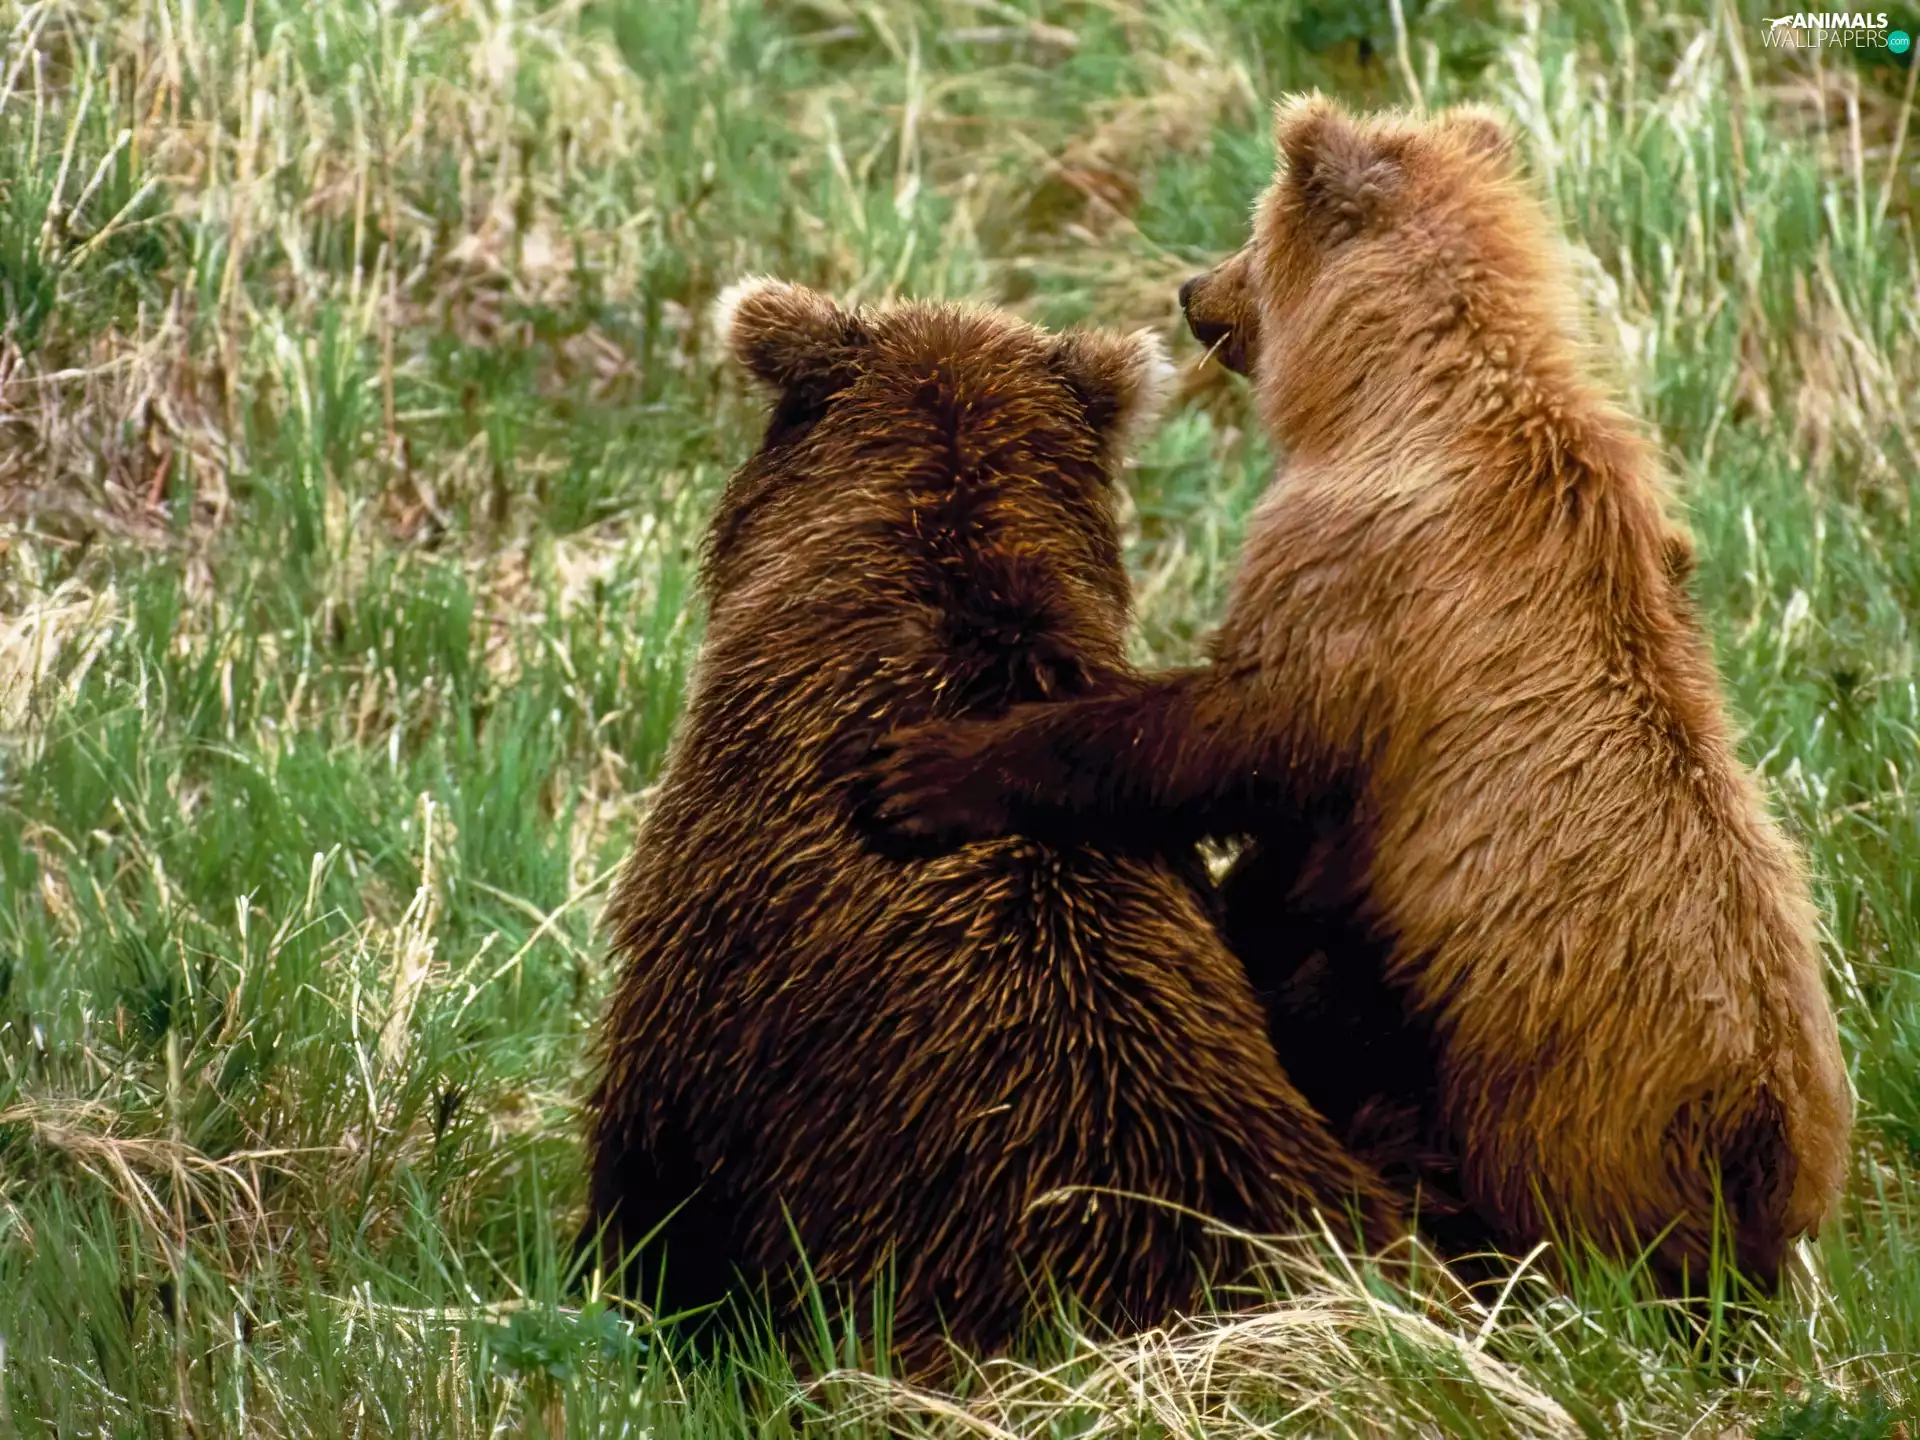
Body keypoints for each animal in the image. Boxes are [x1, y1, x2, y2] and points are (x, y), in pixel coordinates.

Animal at [857, 98, 1854, 1290]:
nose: (1192, 289)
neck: (1398, 395)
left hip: (1549, 1096)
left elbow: (1233, 732)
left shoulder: (1368, 587)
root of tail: (1767, 1133)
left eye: (1253, 229)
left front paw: (933, 768)